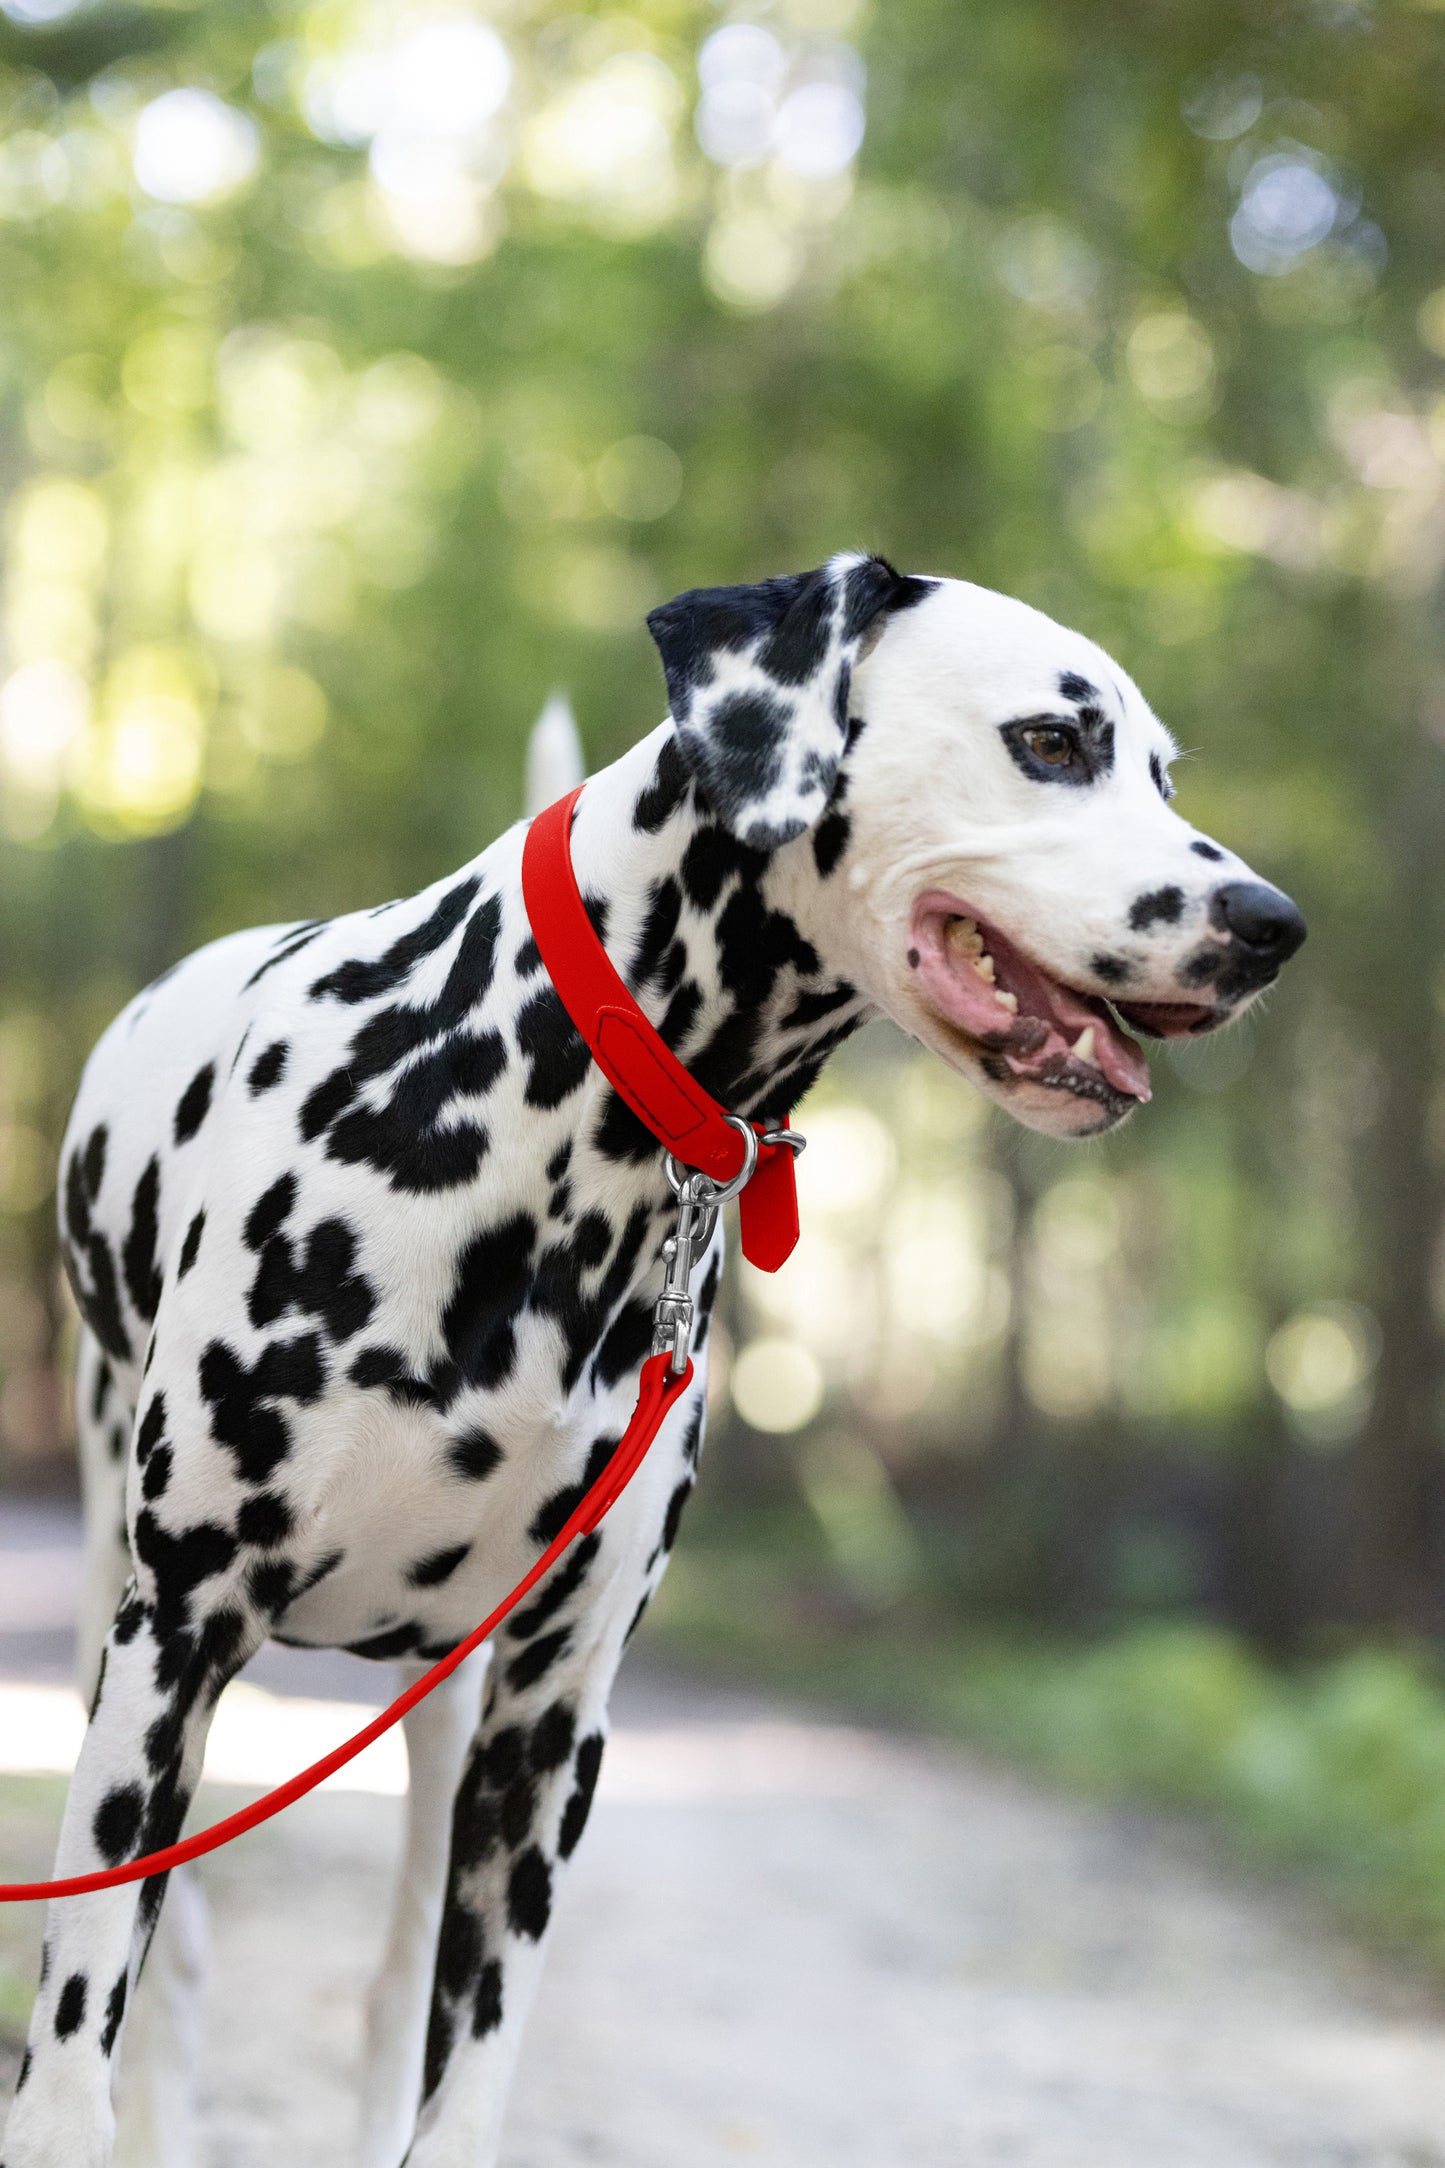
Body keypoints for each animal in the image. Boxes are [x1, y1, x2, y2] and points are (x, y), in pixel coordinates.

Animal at [2, 555, 1308, 2168]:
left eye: (1162, 770)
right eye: (1053, 743)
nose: (1271, 923)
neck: (538, 1129)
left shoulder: (551, 1720)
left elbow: (463, 2083)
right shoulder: (179, 1641)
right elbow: (75, 2054)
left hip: (443, 1710)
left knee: (386, 2001)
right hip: (124, 1633)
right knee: (169, 1987)